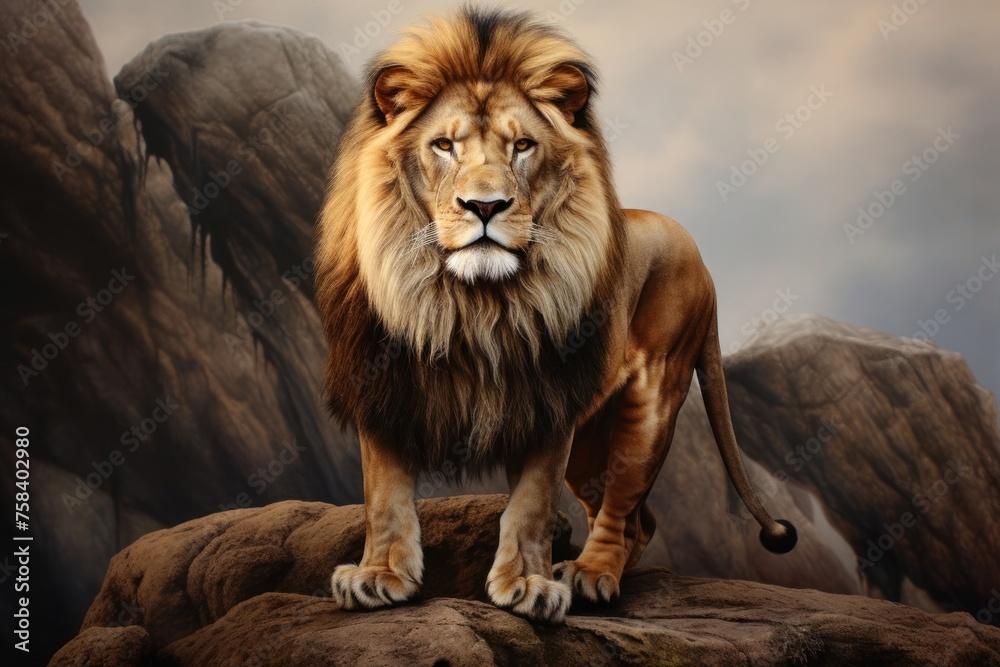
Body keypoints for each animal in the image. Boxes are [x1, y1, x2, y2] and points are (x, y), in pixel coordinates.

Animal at [315, 7, 796, 624]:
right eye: (443, 145)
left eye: (522, 145)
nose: (486, 206)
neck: (469, 302)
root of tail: (703, 260)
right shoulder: (384, 384)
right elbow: (384, 496)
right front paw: (379, 577)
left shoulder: (547, 401)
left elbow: (531, 505)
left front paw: (529, 585)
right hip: (591, 440)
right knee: (642, 520)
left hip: (651, 400)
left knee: (623, 509)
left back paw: (590, 576)